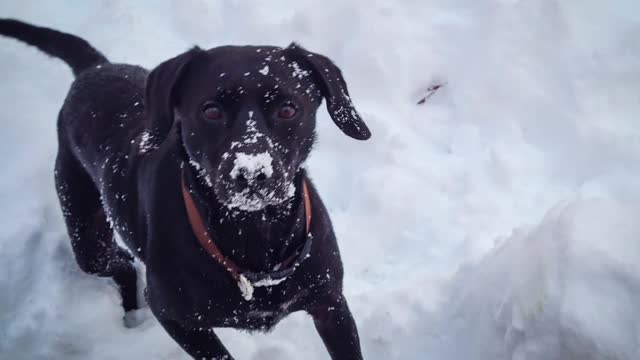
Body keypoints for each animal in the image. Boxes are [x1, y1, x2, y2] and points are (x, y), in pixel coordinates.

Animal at [1, 20, 370, 360]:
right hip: (87, 236)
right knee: (120, 263)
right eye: (212, 111)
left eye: (288, 108)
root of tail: (95, 69)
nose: (251, 174)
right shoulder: (177, 319)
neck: (253, 233)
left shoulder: (330, 304)